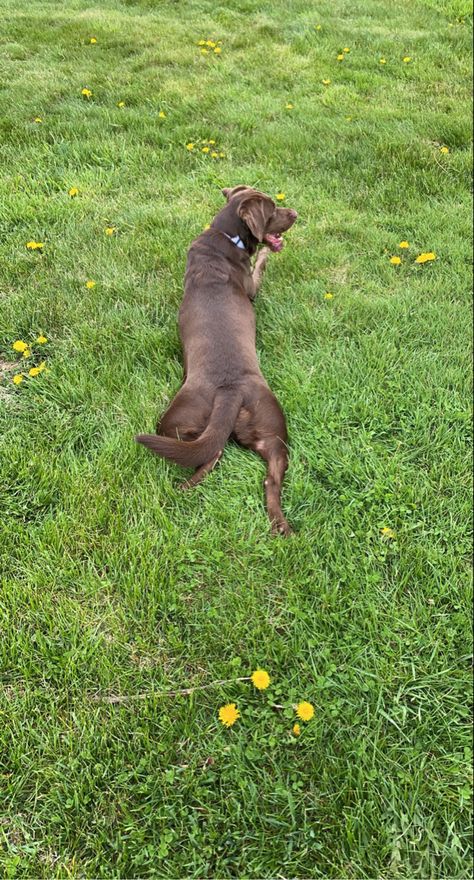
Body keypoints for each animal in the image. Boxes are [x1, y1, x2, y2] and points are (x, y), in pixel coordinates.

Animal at [137, 183, 298, 532]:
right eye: (273, 209)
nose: (295, 213)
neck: (225, 235)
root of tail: (229, 391)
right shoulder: (252, 286)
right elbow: (259, 265)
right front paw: (264, 255)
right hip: (268, 421)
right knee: (246, 467)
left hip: (182, 421)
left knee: (222, 457)